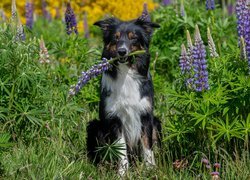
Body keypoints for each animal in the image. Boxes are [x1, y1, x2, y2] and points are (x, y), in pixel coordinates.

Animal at [86, 15, 160, 176]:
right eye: (116, 37)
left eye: (133, 38)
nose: (122, 51)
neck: (127, 73)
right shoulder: (115, 118)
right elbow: (121, 149)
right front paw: (122, 173)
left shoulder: (146, 115)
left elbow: (147, 146)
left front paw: (150, 170)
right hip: (94, 126)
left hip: (157, 123)